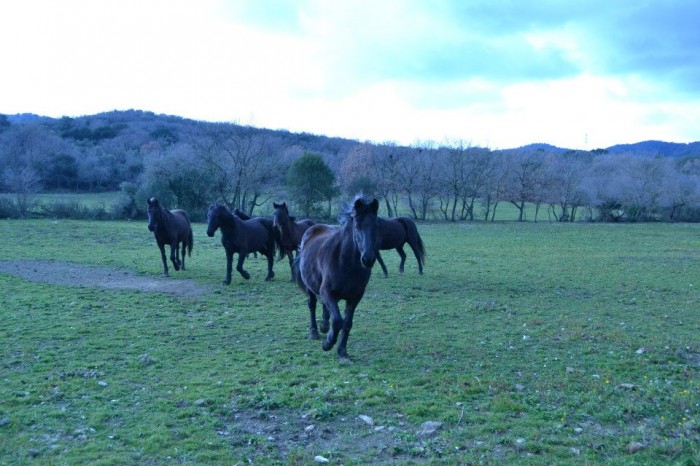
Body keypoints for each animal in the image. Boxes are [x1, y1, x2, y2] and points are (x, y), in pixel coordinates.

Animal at [294, 196, 379, 361]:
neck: (346, 263)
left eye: (377, 225)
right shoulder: (328, 292)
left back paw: (324, 326)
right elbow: (338, 321)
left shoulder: (355, 297)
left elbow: (347, 323)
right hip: (310, 287)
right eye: (357, 226)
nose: (368, 259)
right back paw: (314, 331)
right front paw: (327, 344)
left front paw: (342, 351)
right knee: (312, 305)